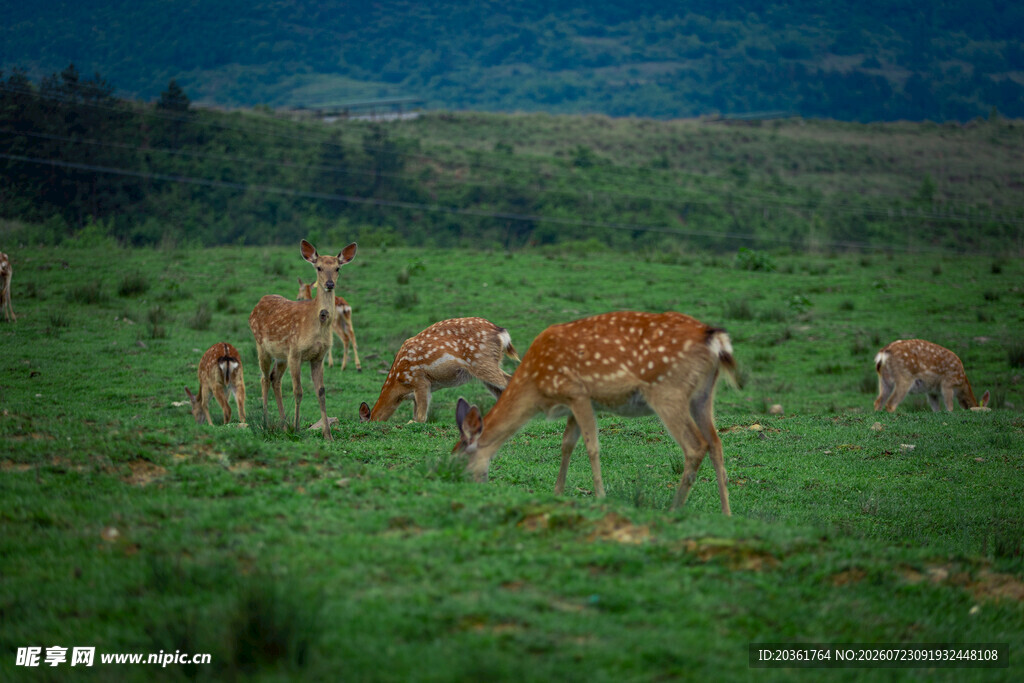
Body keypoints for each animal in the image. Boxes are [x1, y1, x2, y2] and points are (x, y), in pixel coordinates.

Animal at [249, 239, 357, 440]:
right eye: (319, 267)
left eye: (338, 268)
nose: (329, 283)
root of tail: (257, 304)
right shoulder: (295, 352)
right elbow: (298, 391)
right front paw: (297, 428)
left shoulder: (318, 357)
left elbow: (321, 391)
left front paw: (328, 434)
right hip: (261, 346)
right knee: (264, 379)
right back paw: (266, 423)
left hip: (281, 356)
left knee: (275, 379)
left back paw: (283, 425)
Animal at [359, 317, 520, 423]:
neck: (399, 383)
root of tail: (501, 332)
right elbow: (416, 413)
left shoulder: (420, 381)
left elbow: (420, 418)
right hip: (486, 368)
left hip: (482, 361)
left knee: (509, 382)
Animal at [452, 311, 738, 514]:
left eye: (457, 459)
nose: (458, 485)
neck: (537, 385)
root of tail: (715, 338)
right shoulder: (572, 402)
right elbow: (567, 444)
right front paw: (558, 492)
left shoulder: (578, 392)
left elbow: (592, 446)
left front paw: (600, 496)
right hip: (703, 395)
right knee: (716, 443)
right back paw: (726, 513)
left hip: (668, 390)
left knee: (695, 445)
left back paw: (674, 508)